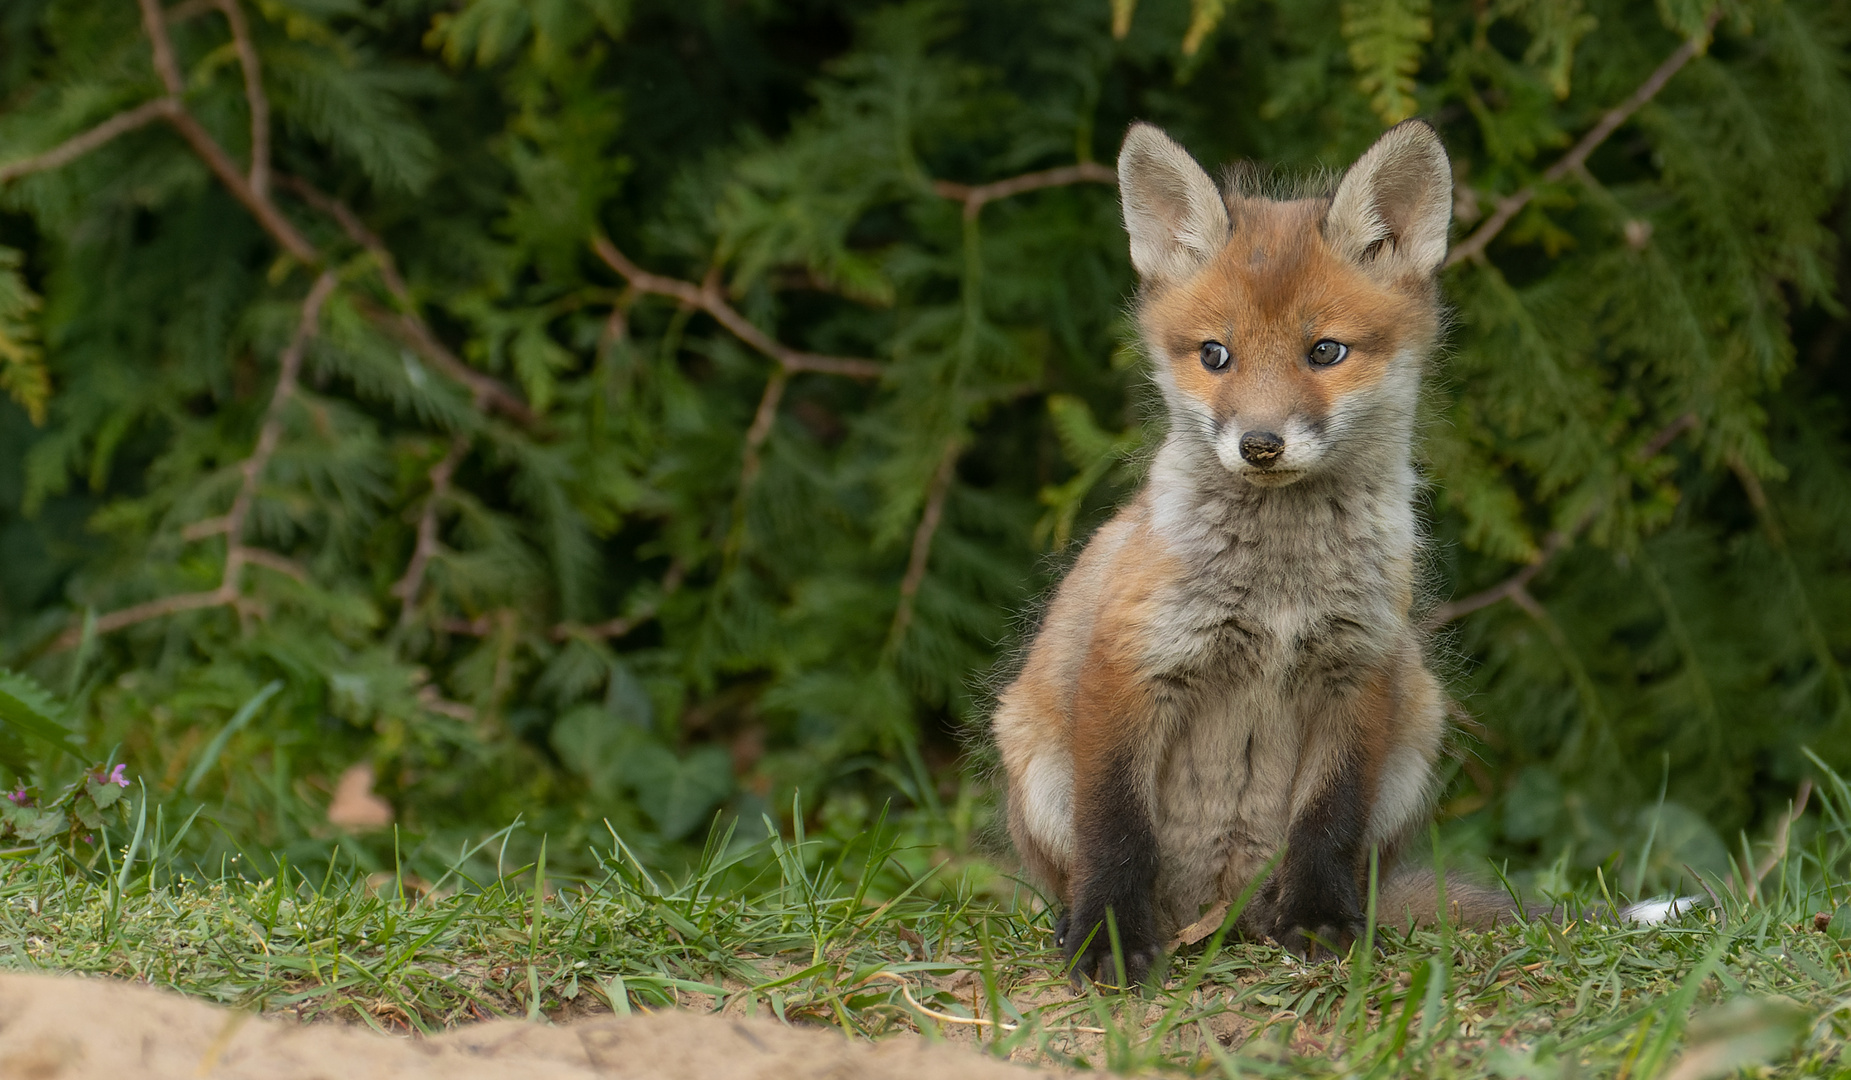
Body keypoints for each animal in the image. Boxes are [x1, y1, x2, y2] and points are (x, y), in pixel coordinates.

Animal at [992, 120, 1510, 985]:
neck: (1278, 589)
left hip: (1417, 721)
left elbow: (1326, 825)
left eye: (1325, 352)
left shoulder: (1358, 672)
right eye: (1214, 355)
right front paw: (1107, 939)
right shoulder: (1129, 666)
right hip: (1034, 756)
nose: (1260, 444)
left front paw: (1320, 923)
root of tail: (1214, 918)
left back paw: (1289, 920)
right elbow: (1117, 831)